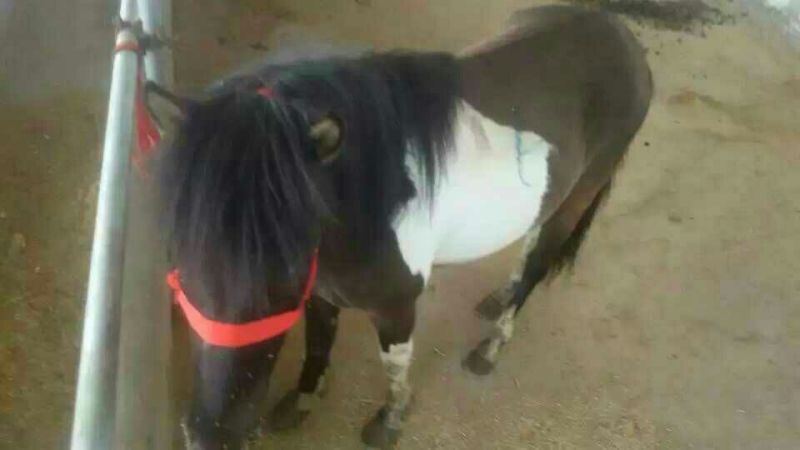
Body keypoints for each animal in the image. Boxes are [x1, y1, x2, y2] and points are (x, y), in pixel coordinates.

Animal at [153, 5, 652, 449]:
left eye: (285, 274)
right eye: (181, 259)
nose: (209, 437)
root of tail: (622, 37)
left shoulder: (397, 305)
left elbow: (394, 364)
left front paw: (388, 422)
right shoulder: (323, 292)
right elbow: (318, 343)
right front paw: (303, 400)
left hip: (579, 194)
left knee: (537, 262)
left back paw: (491, 346)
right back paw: (497, 299)